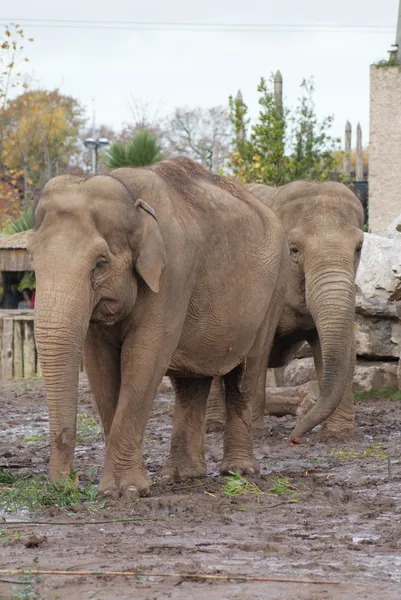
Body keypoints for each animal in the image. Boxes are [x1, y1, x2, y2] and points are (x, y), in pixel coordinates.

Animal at [29, 156, 290, 496]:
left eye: (99, 264)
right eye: (33, 260)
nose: (69, 482)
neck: (129, 195)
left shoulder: (173, 274)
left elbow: (144, 358)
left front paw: (124, 492)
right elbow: (100, 367)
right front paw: (118, 489)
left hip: (274, 290)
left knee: (246, 373)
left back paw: (239, 472)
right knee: (190, 383)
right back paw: (182, 476)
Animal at [205, 180, 364, 442]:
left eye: (359, 248)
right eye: (294, 250)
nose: (295, 438)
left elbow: (342, 345)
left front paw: (339, 434)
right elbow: (260, 346)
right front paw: (257, 434)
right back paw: (214, 427)